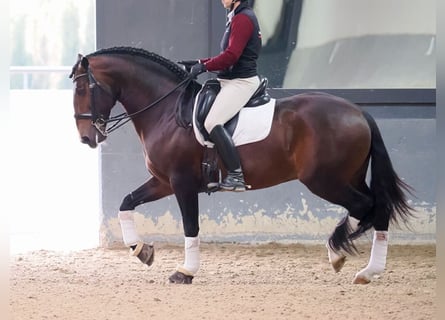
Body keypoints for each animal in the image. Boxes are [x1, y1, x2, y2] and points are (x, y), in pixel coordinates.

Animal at [69, 45, 412, 284]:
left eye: (83, 88)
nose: (86, 138)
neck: (166, 110)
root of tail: (358, 112)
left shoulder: (181, 183)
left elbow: (190, 226)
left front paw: (185, 271)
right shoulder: (163, 182)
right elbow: (126, 203)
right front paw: (142, 251)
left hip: (325, 180)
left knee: (371, 207)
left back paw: (362, 266)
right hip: (347, 177)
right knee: (371, 208)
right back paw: (345, 256)